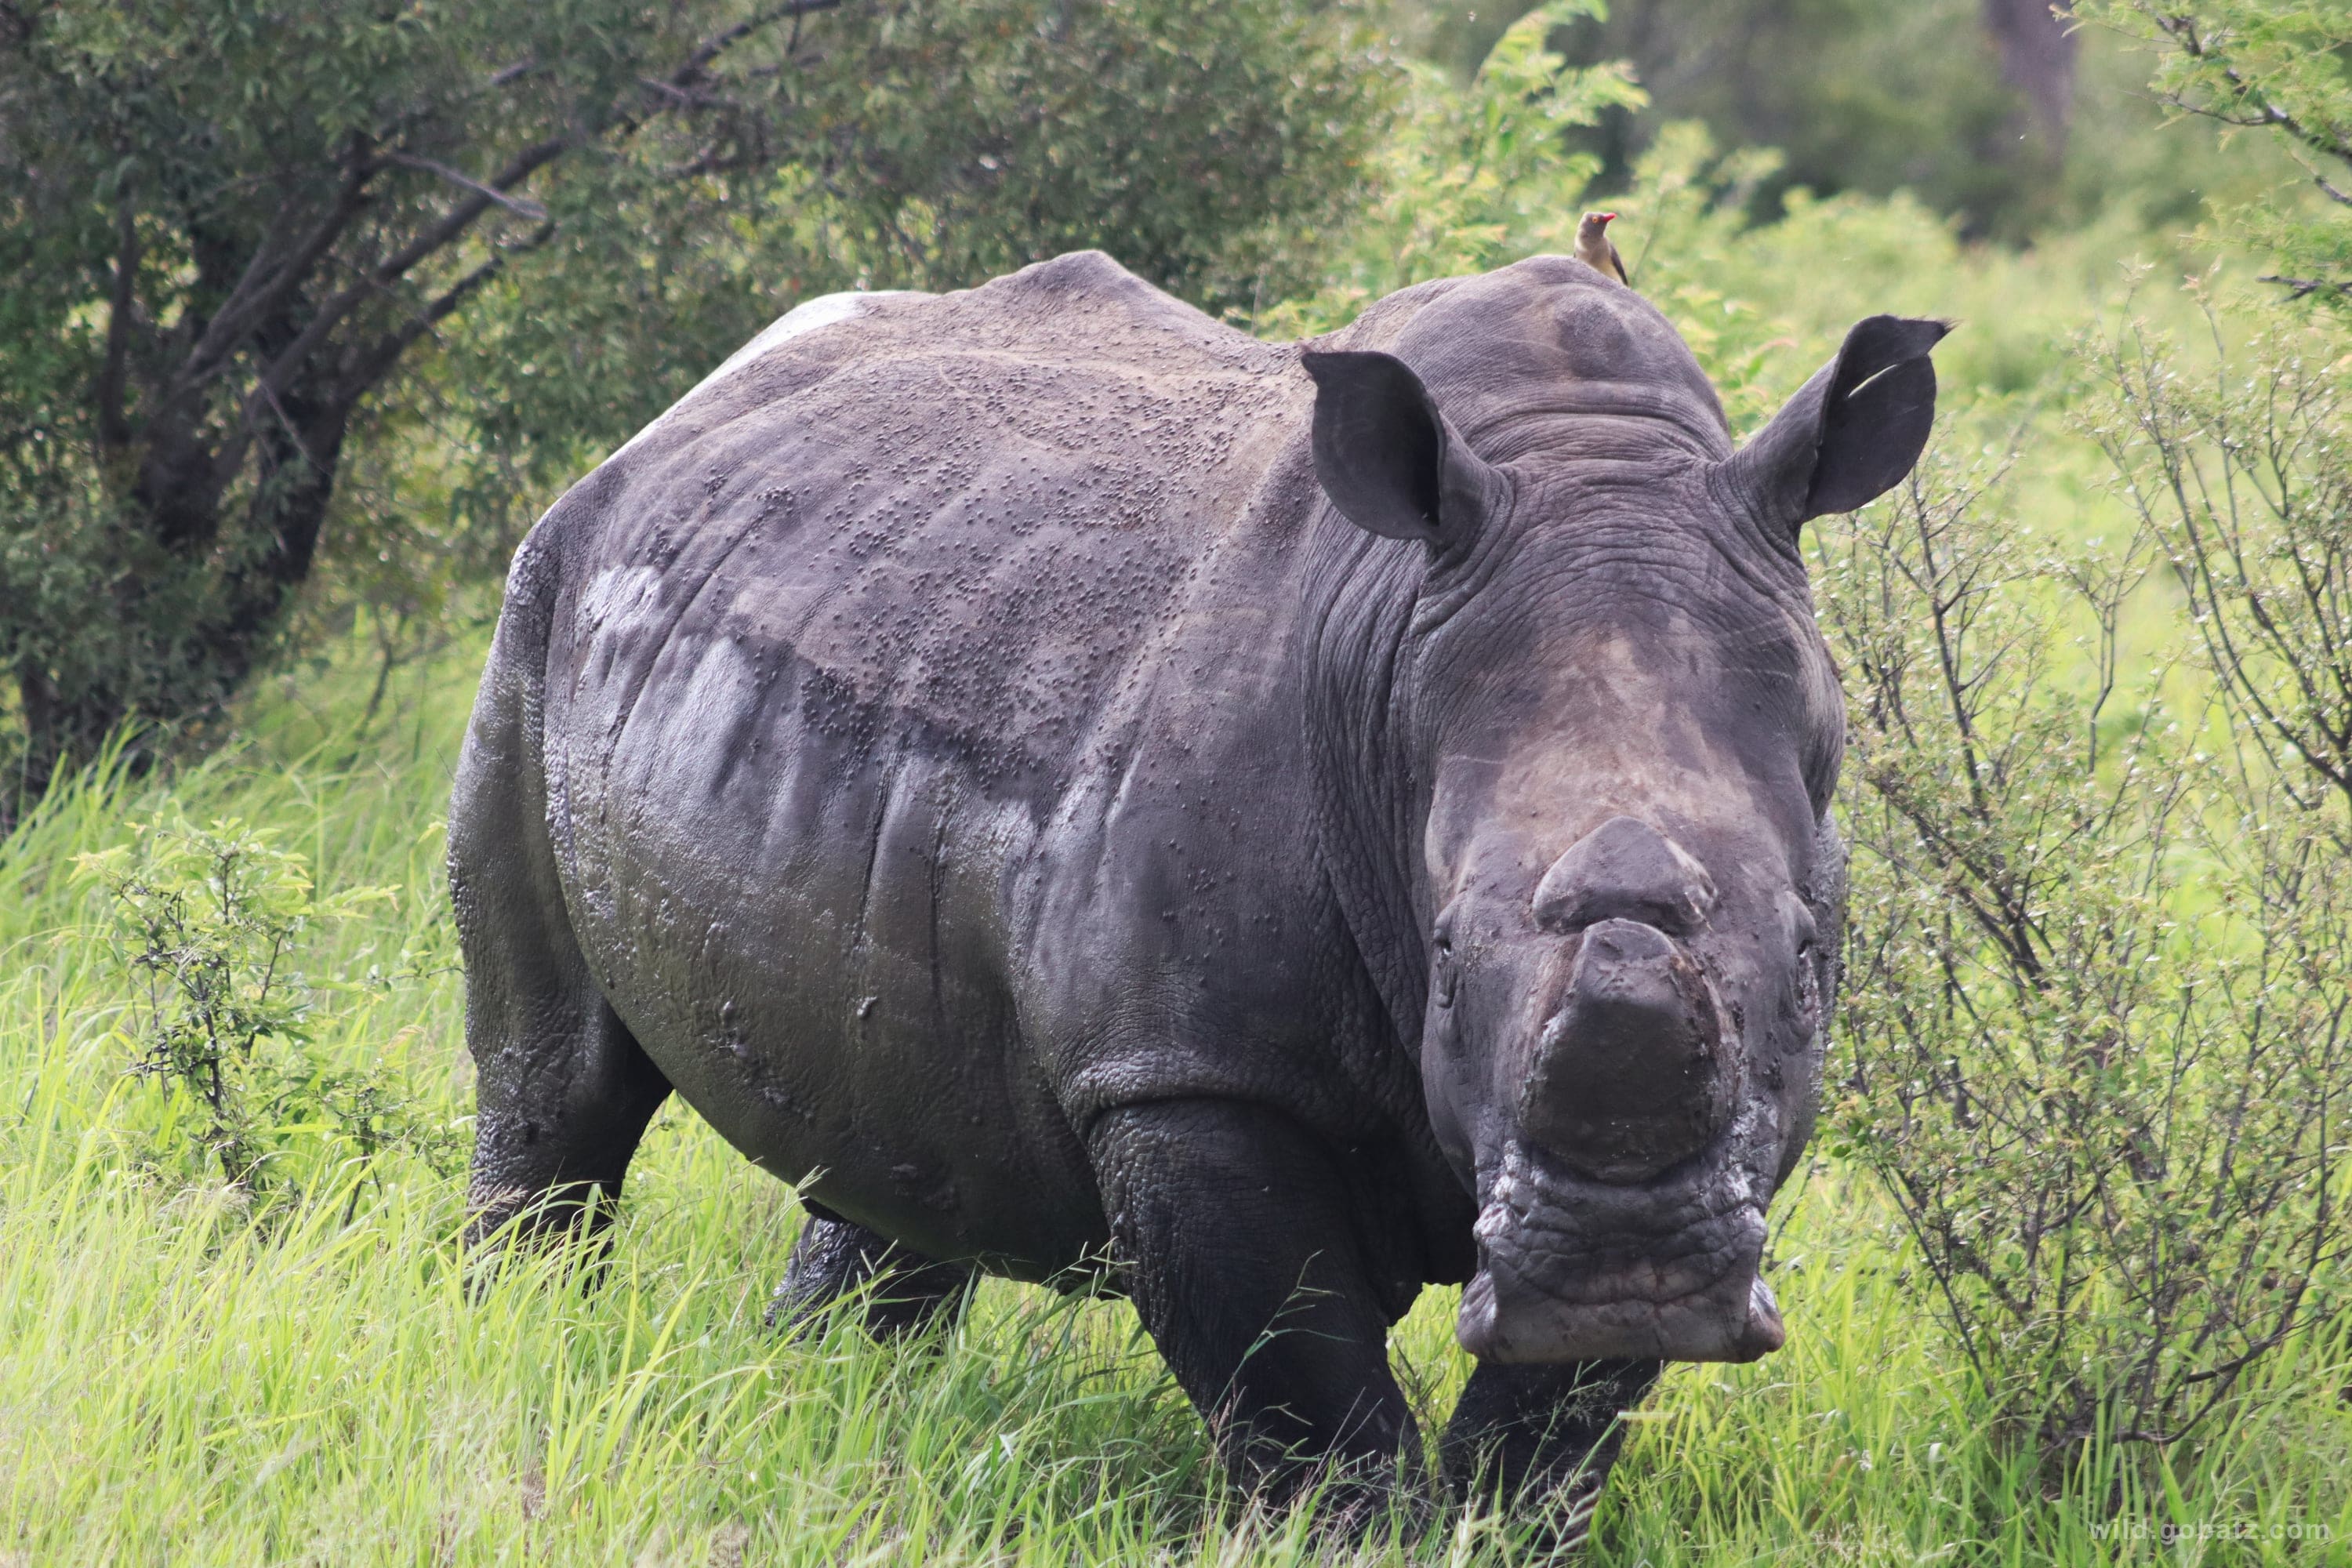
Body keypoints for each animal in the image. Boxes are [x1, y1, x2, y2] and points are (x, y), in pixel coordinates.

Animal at [451, 250, 1943, 1539]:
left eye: (1805, 960)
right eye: (1444, 957)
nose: (1626, 1272)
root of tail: (697, 400)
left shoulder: (1747, 1130)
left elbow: (1544, 1439)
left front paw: (1505, 1509)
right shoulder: (1184, 1072)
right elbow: (1308, 1407)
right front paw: (1356, 1537)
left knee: (893, 1157)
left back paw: (825, 1405)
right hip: (541, 595)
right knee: (552, 1086)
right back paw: (522, 1339)